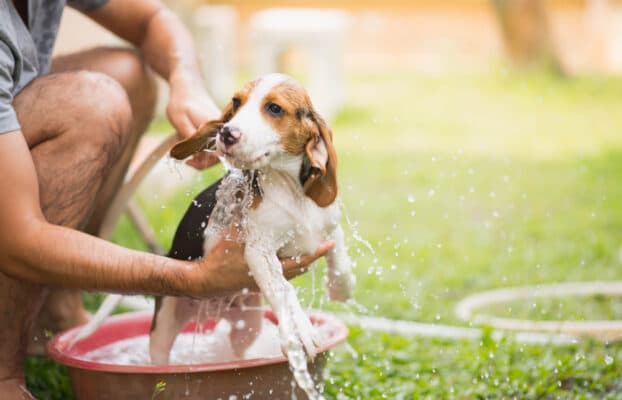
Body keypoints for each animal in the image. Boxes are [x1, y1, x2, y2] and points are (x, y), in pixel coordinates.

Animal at [150, 73, 356, 364]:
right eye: (236, 103)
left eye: (275, 109)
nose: (227, 132)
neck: (290, 190)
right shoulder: (260, 251)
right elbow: (283, 288)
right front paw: (299, 330)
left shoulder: (329, 225)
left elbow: (339, 256)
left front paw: (341, 287)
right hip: (165, 319)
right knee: (160, 350)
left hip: (247, 327)